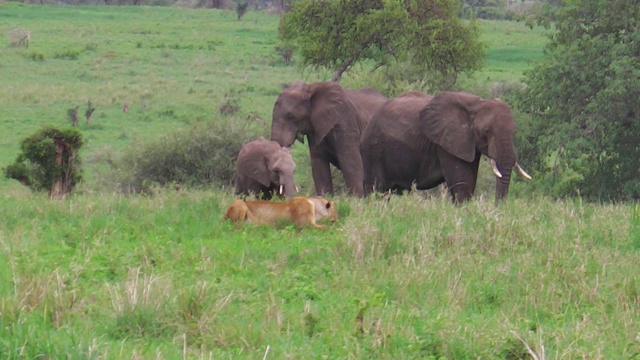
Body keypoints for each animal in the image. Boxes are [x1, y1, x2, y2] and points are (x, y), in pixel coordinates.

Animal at [360, 91, 528, 204]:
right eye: (486, 131)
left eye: (514, 131)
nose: (498, 209)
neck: (477, 103)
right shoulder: (446, 144)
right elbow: (463, 185)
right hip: (372, 151)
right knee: (376, 190)